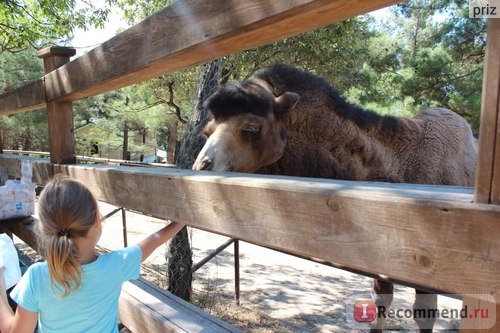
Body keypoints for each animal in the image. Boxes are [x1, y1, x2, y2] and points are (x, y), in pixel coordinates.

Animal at [190, 63, 476, 330]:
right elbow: (380, 302)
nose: (200, 167)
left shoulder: (431, 268)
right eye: (207, 131)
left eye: (251, 128)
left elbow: (424, 315)